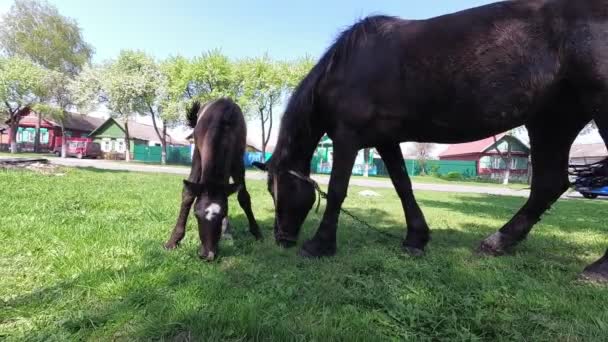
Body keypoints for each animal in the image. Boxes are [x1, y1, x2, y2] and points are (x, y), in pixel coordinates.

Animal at [165, 99, 262, 262]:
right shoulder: (198, 154)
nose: (207, 255)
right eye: (196, 215)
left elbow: (243, 197)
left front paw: (257, 233)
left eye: (222, 214)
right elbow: (188, 194)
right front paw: (173, 240)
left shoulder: (238, 160)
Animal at [253, 0, 608, 280]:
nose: (281, 239)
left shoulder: (347, 136)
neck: (346, 67)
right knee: (549, 184)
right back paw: (498, 242)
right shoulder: (385, 140)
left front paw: (320, 245)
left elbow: (339, 190)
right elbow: (402, 185)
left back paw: (597, 270)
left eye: (279, 188)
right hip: (552, 119)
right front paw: (416, 238)